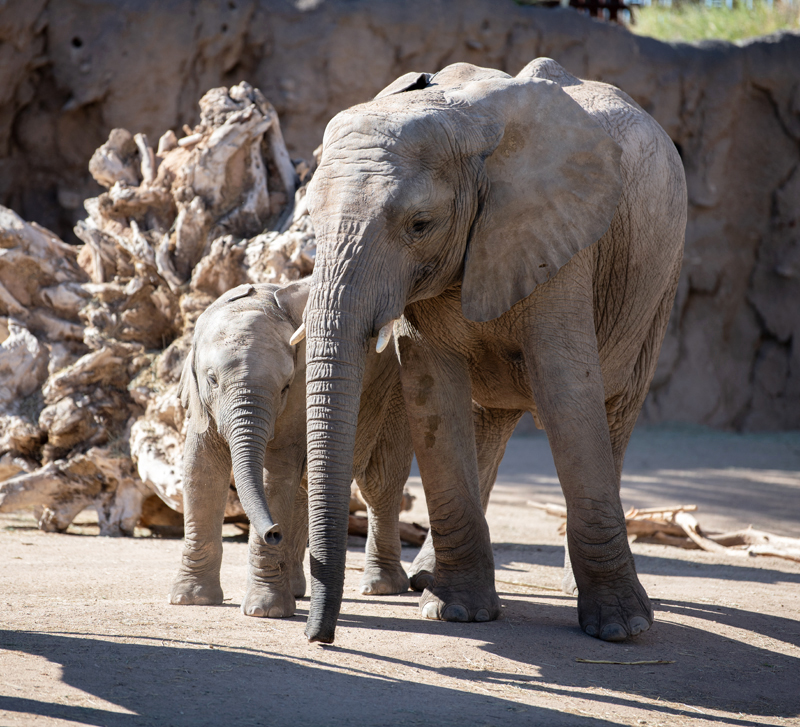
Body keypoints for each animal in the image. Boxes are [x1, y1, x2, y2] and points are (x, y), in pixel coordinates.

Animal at [169, 280, 417, 617]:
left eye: (285, 387)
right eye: (212, 380)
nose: (273, 532)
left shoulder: (297, 402)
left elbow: (274, 476)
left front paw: (264, 611)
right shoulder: (201, 404)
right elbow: (201, 471)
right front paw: (190, 599)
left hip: (394, 388)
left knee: (380, 483)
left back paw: (380, 587)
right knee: (306, 486)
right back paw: (298, 590)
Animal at [259, 57, 687, 644]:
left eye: (420, 225)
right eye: (313, 228)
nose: (317, 636)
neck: (463, 121)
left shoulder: (560, 238)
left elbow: (568, 392)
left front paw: (622, 629)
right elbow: (433, 395)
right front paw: (456, 612)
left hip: (659, 281)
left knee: (616, 407)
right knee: (487, 420)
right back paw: (426, 579)